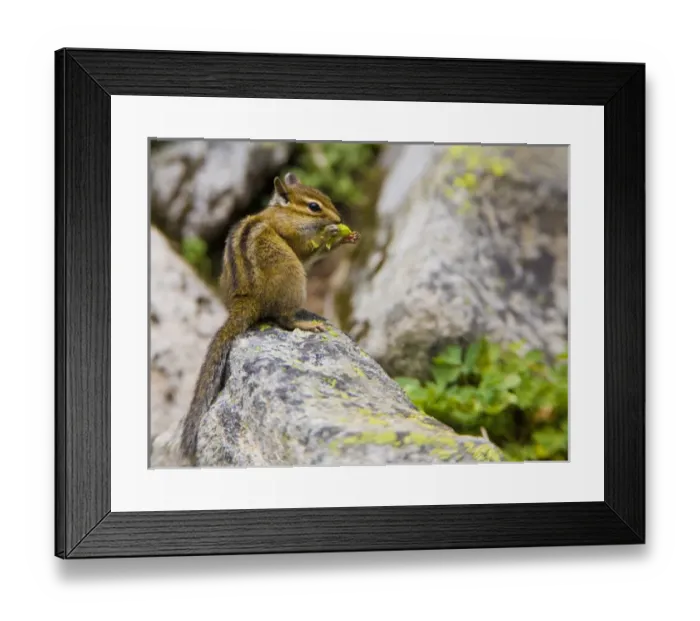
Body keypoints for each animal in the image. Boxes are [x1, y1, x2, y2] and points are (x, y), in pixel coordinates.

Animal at [179, 172, 359, 464]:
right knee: (283, 319)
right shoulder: (294, 239)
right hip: (295, 276)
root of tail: (245, 303)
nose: (339, 219)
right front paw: (333, 234)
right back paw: (307, 324)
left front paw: (348, 236)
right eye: (314, 207)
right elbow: (308, 252)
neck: (282, 213)